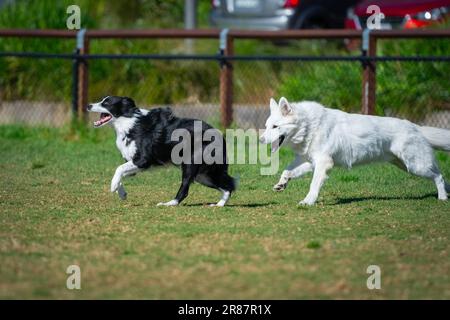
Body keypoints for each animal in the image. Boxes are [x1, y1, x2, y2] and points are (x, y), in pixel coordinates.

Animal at [86, 95, 237, 206]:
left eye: (106, 103)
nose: (88, 105)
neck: (128, 122)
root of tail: (220, 135)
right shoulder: (134, 164)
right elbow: (121, 173)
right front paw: (121, 192)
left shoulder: (142, 160)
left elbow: (118, 169)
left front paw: (113, 186)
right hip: (204, 175)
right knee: (228, 185)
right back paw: (219, 204)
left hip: (191, 165)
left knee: (186, 188)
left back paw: (169, 203)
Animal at [258, 97, 450, 205]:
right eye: (266, 126)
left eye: (275, 127)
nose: (260, 140)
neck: (309, 125)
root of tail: (416, 127)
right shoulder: (311, 161)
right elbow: (287, 171)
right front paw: (282, 184)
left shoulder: (324, 163)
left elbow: (313, 185)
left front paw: (308, 201)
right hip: (405, 165)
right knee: (441, 177)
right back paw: (447, 195)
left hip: (416, 166)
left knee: (439, 176)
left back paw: (442, 198)